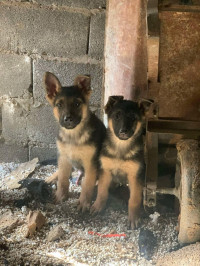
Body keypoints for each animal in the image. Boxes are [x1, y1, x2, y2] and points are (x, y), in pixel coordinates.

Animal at [43, 71, 106, 211]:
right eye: (59, 105)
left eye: (77, 104)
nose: (68, 119)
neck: (73, 135)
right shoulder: (63, 157)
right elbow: (62, 179)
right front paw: (61, 196)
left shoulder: (90, 163)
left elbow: (87, 184)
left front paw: (83, 203)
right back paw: (51, 177)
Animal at [91, 95, 147, 229]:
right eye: (117, 116)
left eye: (133, 118)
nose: (123, 132)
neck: (121, 147)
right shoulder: (105, 171)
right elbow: (102, 191)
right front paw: (98, 206)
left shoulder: (135, 176)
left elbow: (134, 199)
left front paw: (134, 218)